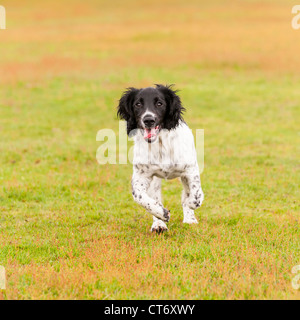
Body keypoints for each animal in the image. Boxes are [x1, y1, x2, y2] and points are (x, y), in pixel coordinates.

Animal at [117, 85, 204, 232]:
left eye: (159, 103)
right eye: (138, 104)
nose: (148, 120)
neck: (160, 144)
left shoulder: (190, 170)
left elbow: (194, 196)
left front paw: (190, 209)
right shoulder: (142, 176)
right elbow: (139, 197)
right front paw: (161, 214)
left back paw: (189, 219)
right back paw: (159, 224)